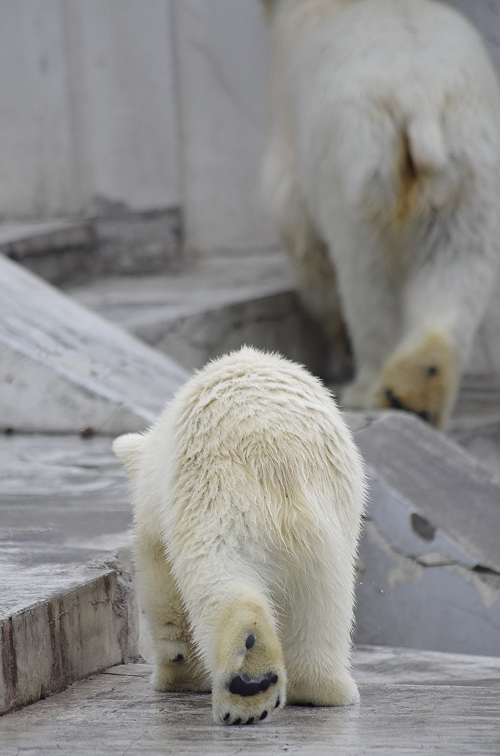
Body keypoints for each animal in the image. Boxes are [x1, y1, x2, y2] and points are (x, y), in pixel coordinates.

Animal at [113, 348, 366, 728]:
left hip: (217, 495)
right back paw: (319, 689)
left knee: (216, 571)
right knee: (323, 597)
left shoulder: (160, 512)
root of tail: (276, 455)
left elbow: (163, 587)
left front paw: (178, 671)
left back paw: (247, 679)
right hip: (327, 523)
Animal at [260, 0, 500, 426]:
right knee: (460, 259)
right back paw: (422, 384)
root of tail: (420, 99)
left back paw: (369, 389)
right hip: (470, 162)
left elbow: (300, 234)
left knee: (366, 274)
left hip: (363, 161)